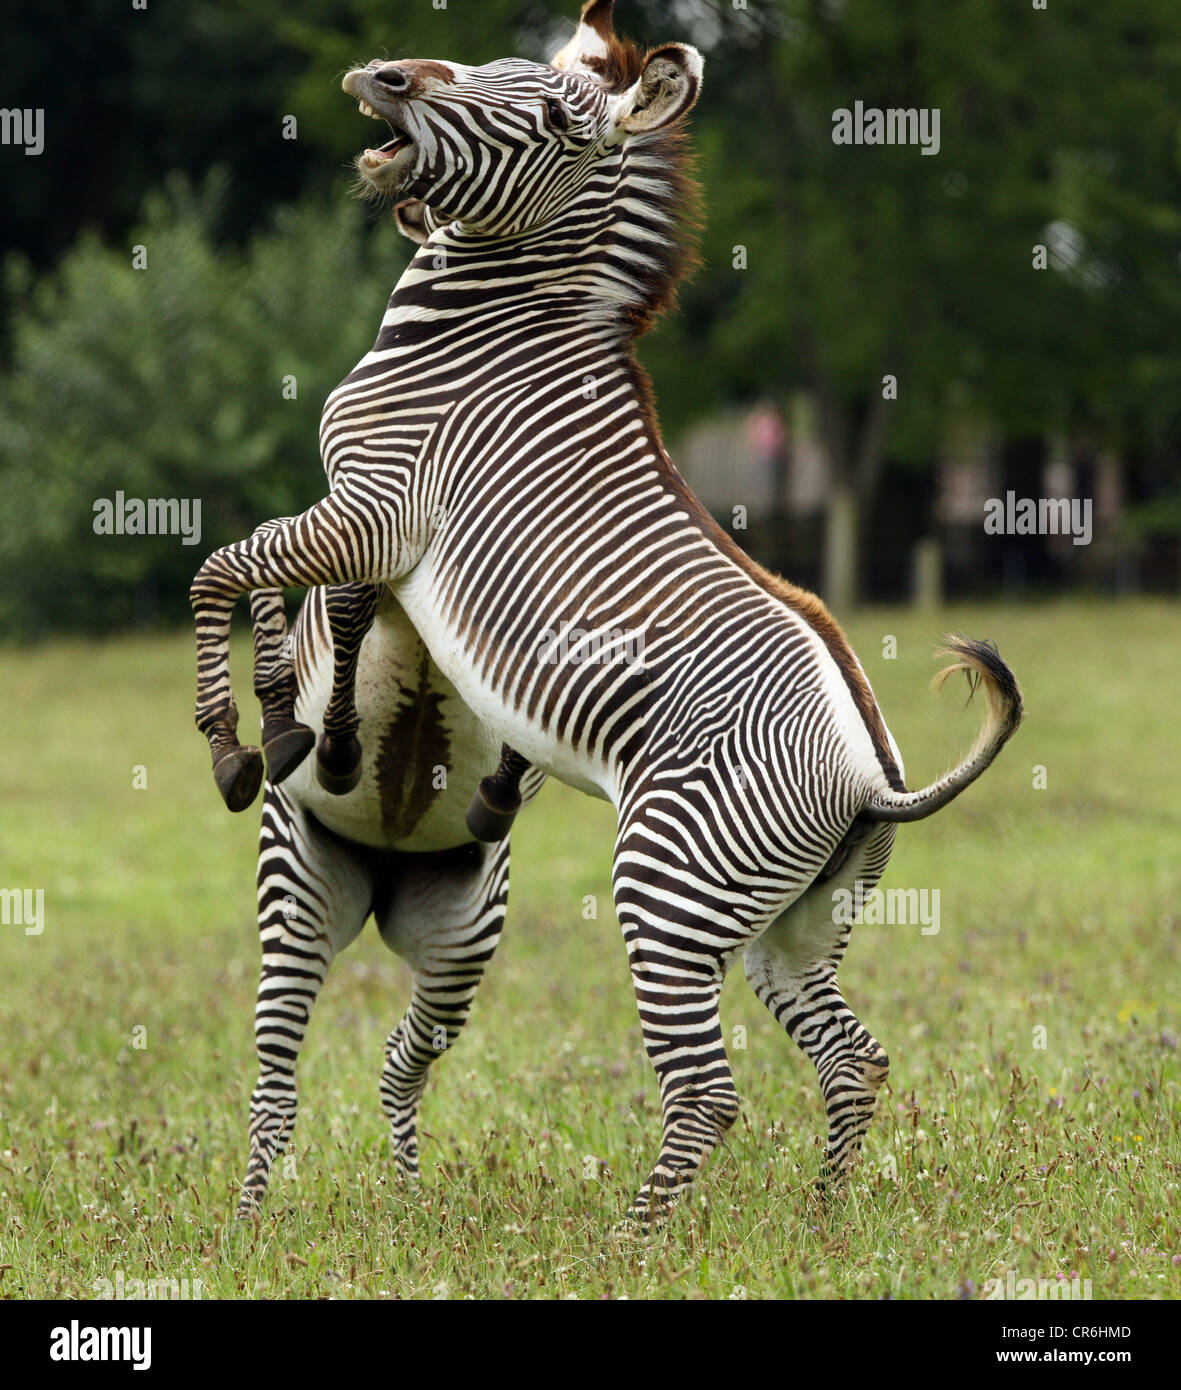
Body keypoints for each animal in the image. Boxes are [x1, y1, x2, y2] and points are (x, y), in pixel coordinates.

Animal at [190, 0, 1023, 1226]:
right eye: (489, 63)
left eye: (551, 118)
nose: (385, 77)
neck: (471, 328)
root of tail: (871, 776)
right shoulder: (363, 530)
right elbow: (269, 589)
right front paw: (288, 724)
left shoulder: (374, 510)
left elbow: (225, 571)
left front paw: (243, 740)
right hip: (791, 928)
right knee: (851, 1058)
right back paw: (821, 1221)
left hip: (667, 887)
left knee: (708, 1091)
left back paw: (635, 1242)